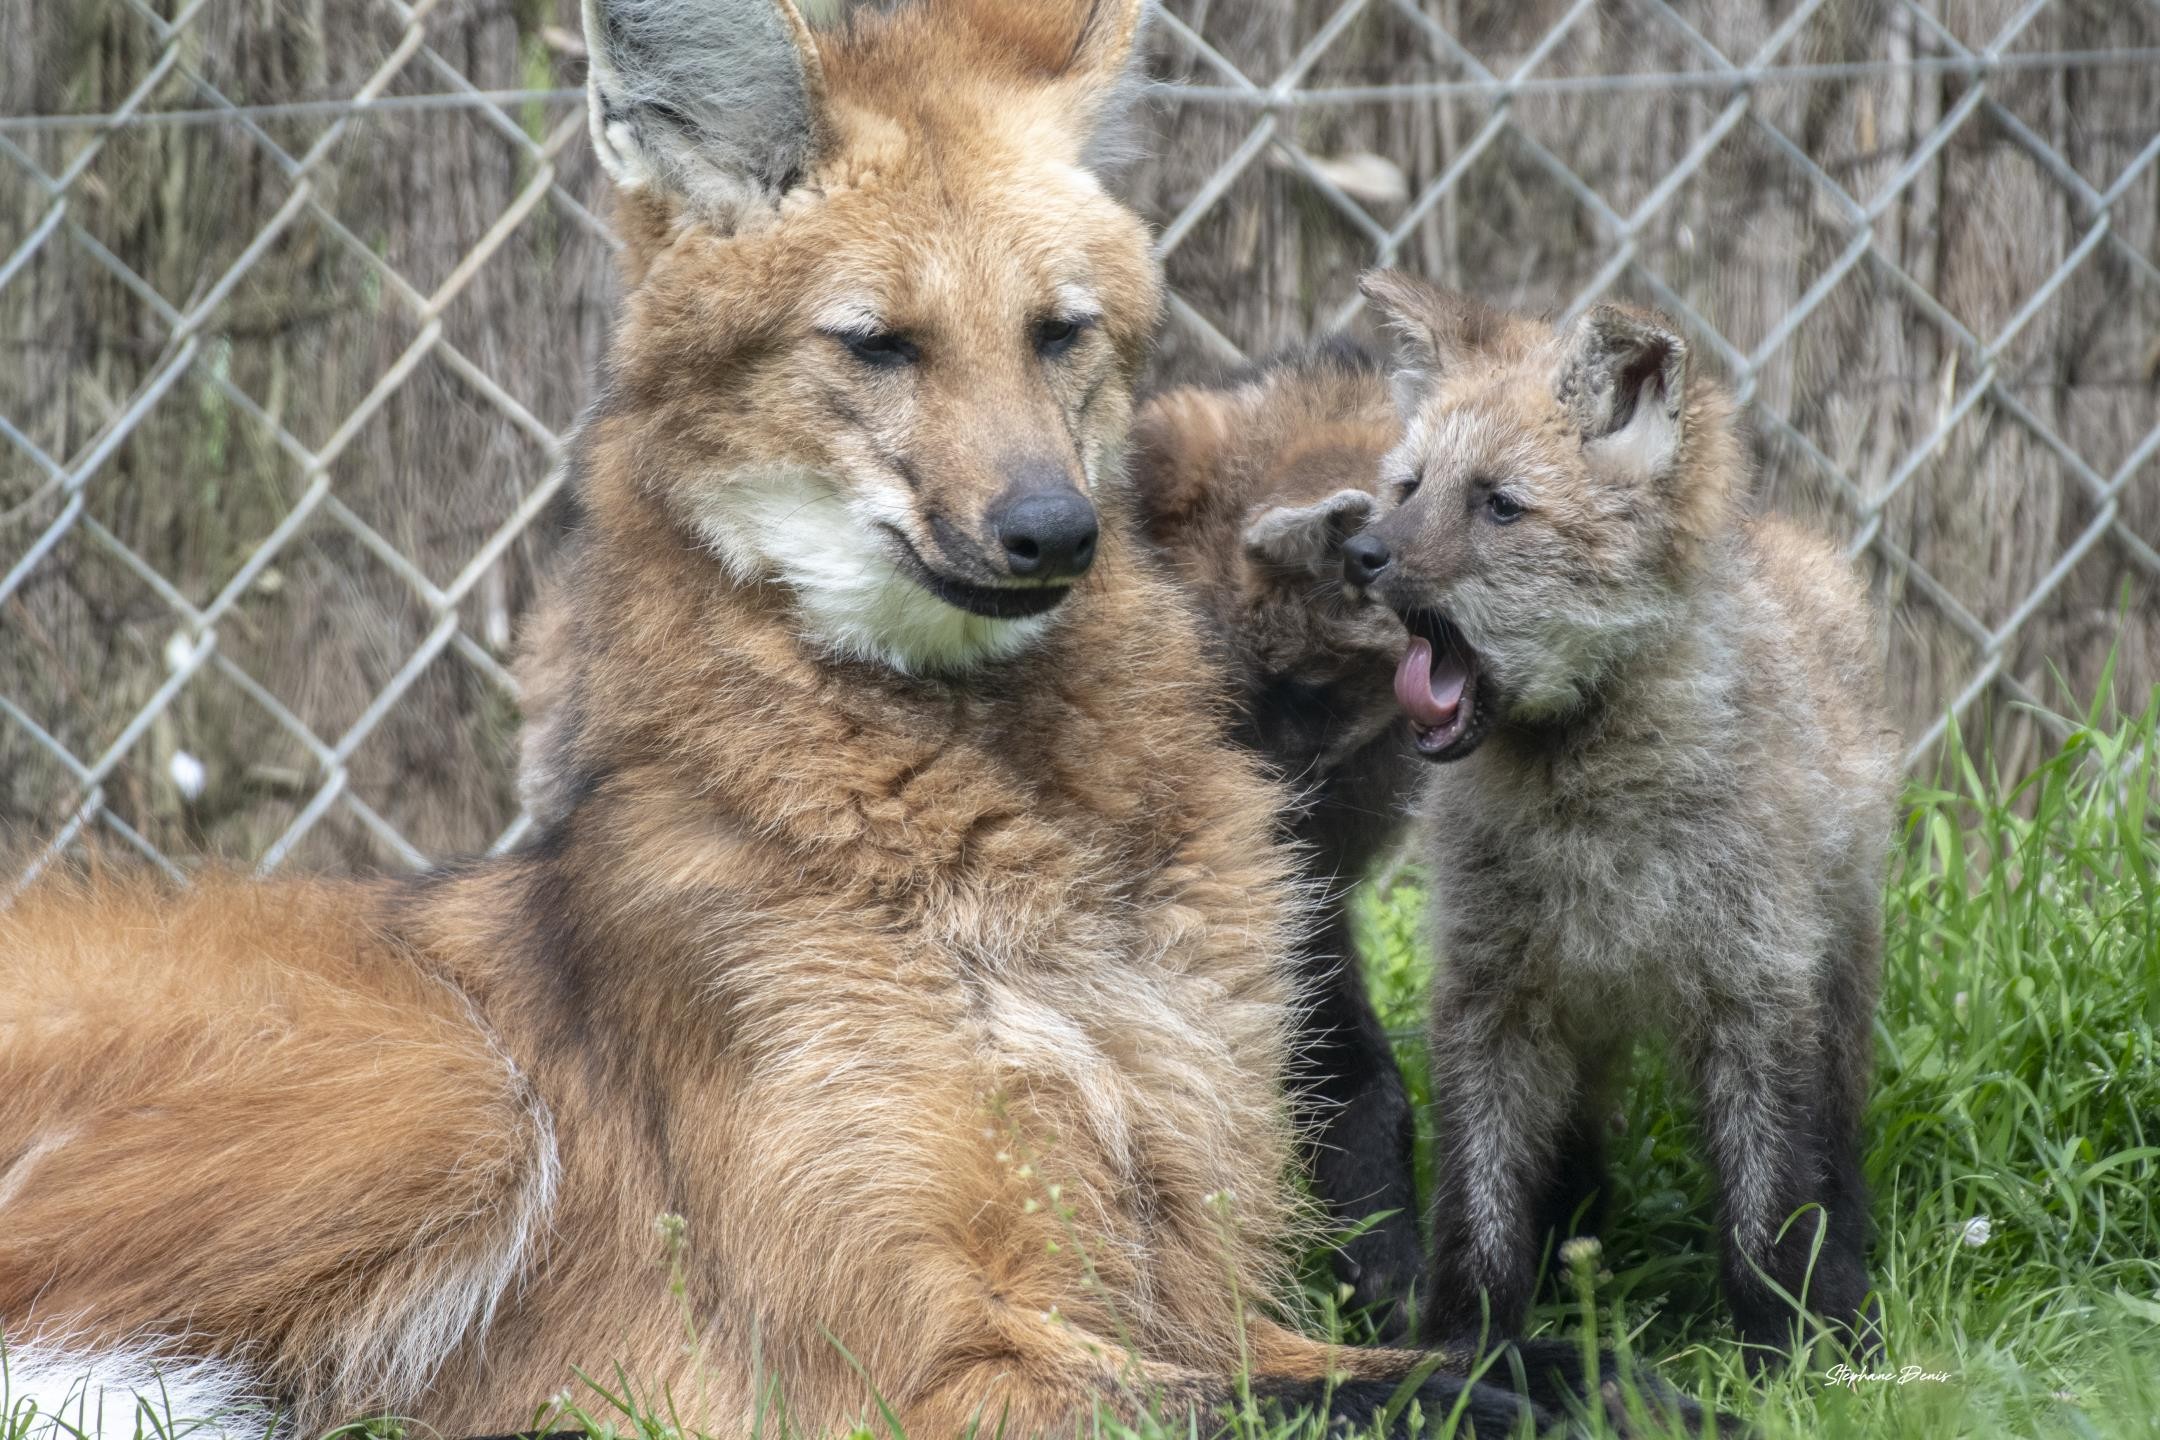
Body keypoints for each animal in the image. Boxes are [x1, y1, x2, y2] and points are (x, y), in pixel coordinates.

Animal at [1123, 343, 1425, 1338]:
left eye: (1312, 703)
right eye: (1247, 693)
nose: (1260, 807)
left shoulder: (1309, 882)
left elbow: (1355, 1073)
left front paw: (1396, 1282)